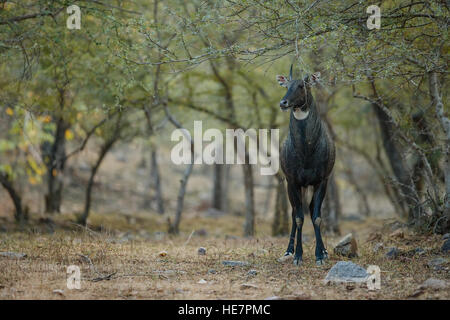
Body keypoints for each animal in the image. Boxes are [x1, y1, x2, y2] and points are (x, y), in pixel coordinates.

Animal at [274, 65, 334, 264]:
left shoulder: (322, 180)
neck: (307, 151)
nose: (283, 103)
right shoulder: (292, 181)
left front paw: (320, 255)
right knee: (294, 213)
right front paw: (298, 255)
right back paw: (288, 251)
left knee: (310, 209)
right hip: (294, 186)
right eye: (286, 86)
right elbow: (299, 218)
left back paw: (323, 250)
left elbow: (316, 217)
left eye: (302, 85)